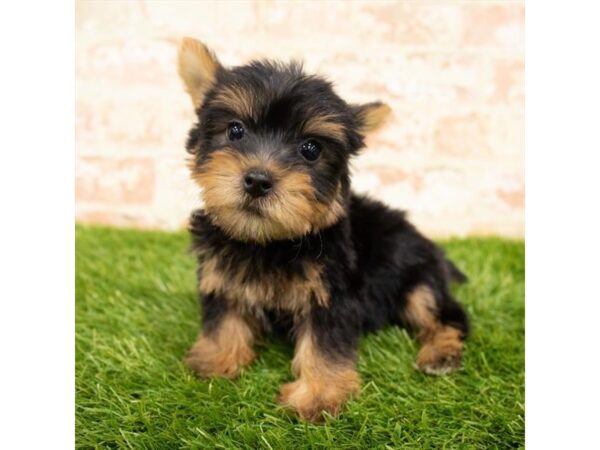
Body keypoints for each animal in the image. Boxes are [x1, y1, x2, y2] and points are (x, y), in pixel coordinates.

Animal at [178, 37, 468, 422]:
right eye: (235, 130)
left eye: (311, 149)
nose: (257, 180)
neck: (269, 242)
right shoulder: (221, 273)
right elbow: (223, 316)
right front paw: (215, 358)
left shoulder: (331, 292)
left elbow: (324, 343)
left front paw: (319, 394)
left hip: (416, 276)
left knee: (444, 313)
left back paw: (441, 352)